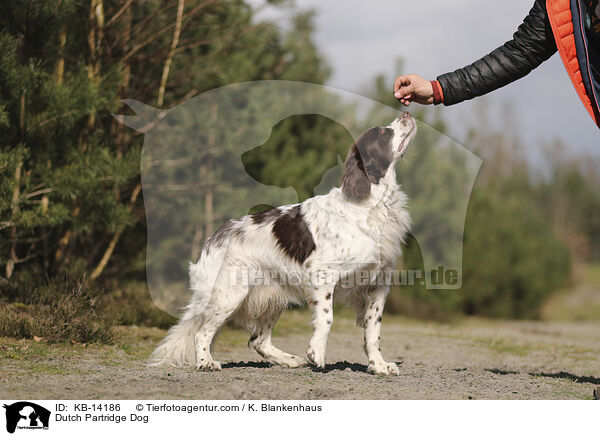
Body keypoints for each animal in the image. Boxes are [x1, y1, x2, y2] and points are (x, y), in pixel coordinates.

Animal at [148, 112, 414, 374]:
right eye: (382, 133)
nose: (407, 113)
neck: (372, 203)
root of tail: (214, 238)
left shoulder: (377, 285)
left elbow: (373, 330)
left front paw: (378, 365)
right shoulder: (323, 275)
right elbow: (327, 318)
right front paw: (316, 353)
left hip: (271, 297)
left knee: (258, 341)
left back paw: (290, 360)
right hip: (229, 294)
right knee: (202, 332)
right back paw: (206, 362)